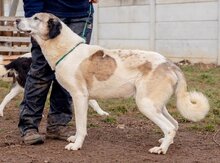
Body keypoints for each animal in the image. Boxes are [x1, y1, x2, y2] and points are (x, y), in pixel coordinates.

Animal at [15, 13, 210, 154]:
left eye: (36, 18)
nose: (16, 20)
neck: (67, 50)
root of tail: (169, 63)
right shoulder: (80, 99)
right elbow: (79, 124)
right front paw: (74, 139)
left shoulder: (79, 97)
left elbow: (81, 126)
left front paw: (76, 145)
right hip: (156, 105)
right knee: (175, 124)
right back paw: (165, 142)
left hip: (145, 104)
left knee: (169, 127)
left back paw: (161, 149)